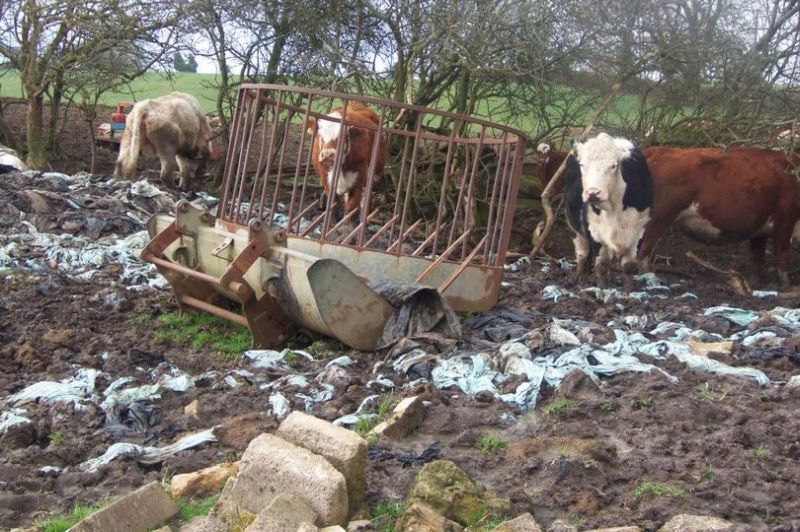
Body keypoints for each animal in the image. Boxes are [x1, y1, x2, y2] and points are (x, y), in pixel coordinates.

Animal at [564, 132, 652, 286]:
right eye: (582, 165)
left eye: (613, 166)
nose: (593, 193)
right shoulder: (593, 230)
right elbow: (602, 265)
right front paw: (603, 288)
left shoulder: (640, 230)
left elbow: (629, 266)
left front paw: (630, 290)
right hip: (574, 228)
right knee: (582, 253)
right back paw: (579, 277)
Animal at [640, 145, 800, 286]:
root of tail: (658, 150)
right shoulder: (785, 221)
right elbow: (781, 255)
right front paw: (786, 285)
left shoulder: (760, 229)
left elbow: (757, 258)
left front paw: (755, 282)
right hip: (657, 220)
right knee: (643, 252)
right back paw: (649, 279)